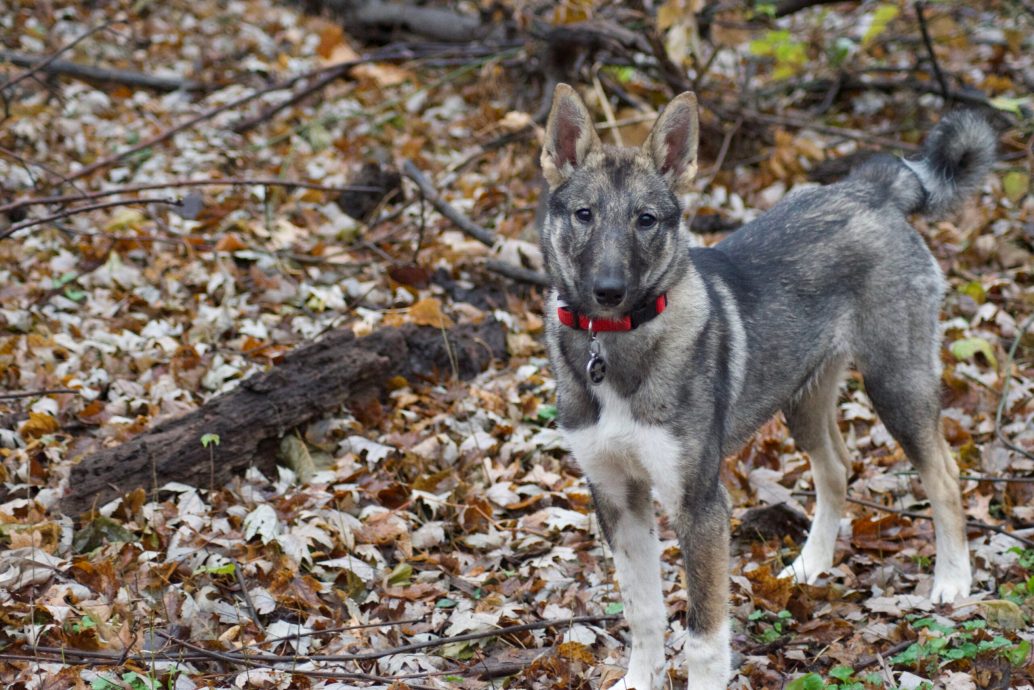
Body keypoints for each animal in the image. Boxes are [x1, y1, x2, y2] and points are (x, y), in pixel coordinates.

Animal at [537, 82, 996, 690]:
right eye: (584, 214)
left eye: (646, 219)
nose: (607, 290)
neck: (614, 345)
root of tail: (871, 189)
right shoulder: (615, 495)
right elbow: (643, 612)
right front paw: (639, 680)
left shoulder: (701, 504)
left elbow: (704, 637)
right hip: (802, 398)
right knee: (837, 468)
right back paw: (811, 564)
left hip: (896, 383)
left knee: (943, 475)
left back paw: (951, 580)